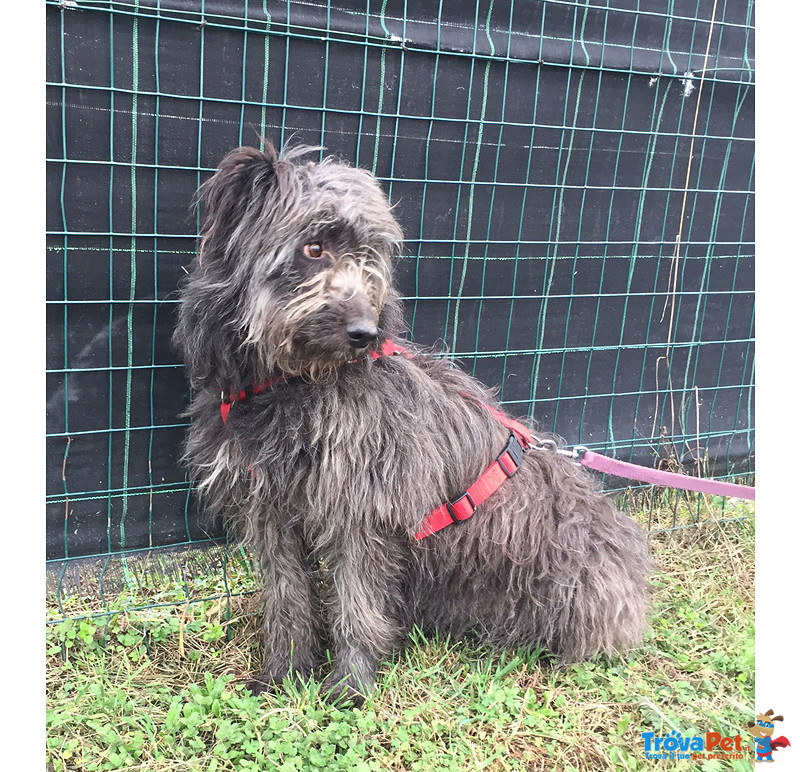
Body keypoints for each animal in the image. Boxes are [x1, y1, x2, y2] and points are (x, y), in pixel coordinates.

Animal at [173, 140, 648, 704]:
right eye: (314, 247)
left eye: (370, 256)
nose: (366, 333)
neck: (287, 385)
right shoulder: (267, 509)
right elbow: (286, 598)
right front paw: (283, 673)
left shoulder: (362, 510)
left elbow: (357, 605)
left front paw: (349, 685)